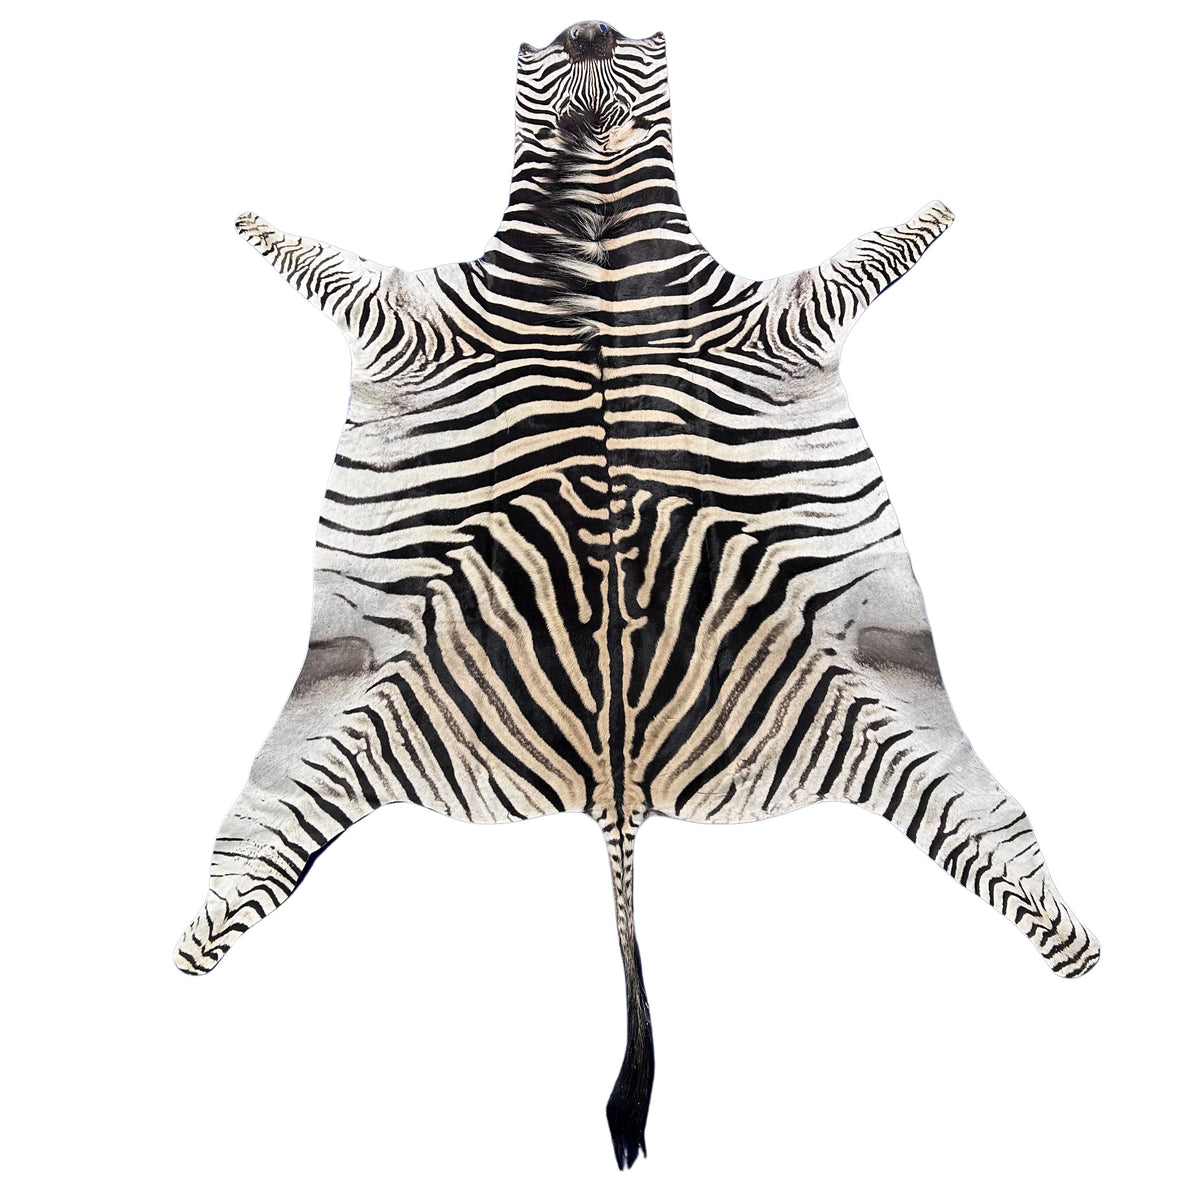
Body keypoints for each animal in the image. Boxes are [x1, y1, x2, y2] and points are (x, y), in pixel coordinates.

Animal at [175, 20, 1099, 1169]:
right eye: (542, 52)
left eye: (624, 50)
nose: (587, 28)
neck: (599, 234)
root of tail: (618, 788)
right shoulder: (423, 318)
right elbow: (315, 257)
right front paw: (253, 220)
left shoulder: (769, 319)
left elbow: (878, 250)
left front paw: (936, 210)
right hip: (345, 714)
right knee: (250, 863)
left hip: (878, 703)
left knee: (1000, 852)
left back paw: (1076, 948)